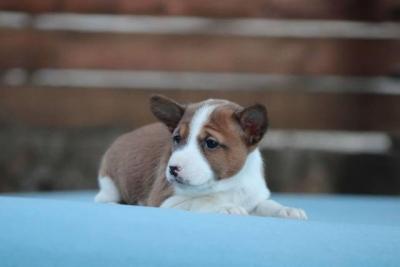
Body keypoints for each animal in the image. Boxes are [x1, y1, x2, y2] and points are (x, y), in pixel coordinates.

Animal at [95, 96, 308, 220]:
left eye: (211, 143)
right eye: (177, 139)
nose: (172, 169)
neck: (228, 184)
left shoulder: (254, 198)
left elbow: (268, 204)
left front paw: (286, 209)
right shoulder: (165, 201)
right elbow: (202, 201)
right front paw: (226, 207)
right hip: (110, 185)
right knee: (103, 199)